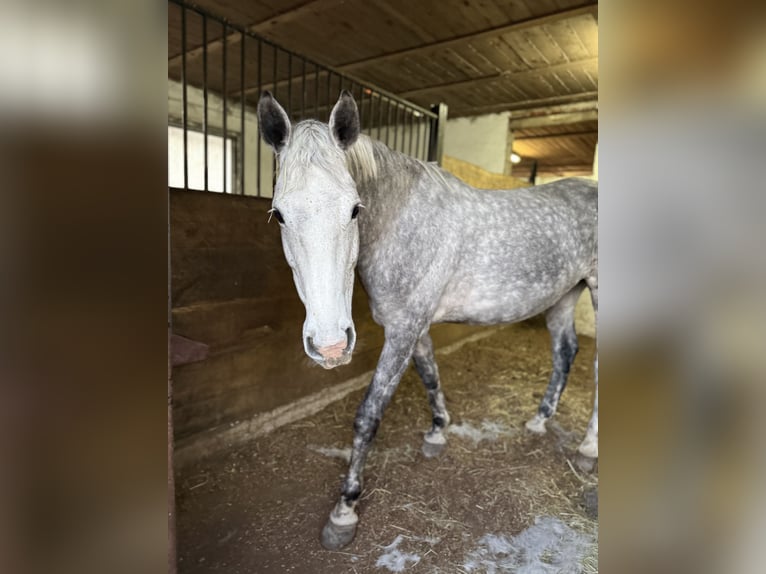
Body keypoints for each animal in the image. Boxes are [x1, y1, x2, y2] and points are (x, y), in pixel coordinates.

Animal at [256, 90, 598, 550]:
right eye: (278, 214)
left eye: (354, 209)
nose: (331, 345)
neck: (401, 221)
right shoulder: (412, 328)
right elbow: (431, 375)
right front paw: (438, 432)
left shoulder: (403, 330)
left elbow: (369, 415)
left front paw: (344, 510)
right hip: (563, 297)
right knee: (565, 352)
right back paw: (539, 421)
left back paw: (588, 450)